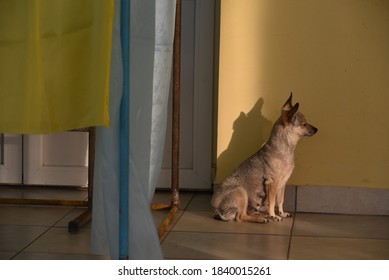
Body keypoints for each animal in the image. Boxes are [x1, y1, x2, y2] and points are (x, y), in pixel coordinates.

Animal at [211, 94, 316, 223]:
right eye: (304, 124)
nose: (316, 129)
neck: (285, 149)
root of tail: (215, 209)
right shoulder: (272, 183)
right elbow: (271, 202)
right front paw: (274, 215)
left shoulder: (282, 184)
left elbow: (280, 200)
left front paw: (281, 213)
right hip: (241, 191)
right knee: (240, 217)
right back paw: (261, 219)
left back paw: (261, 216)